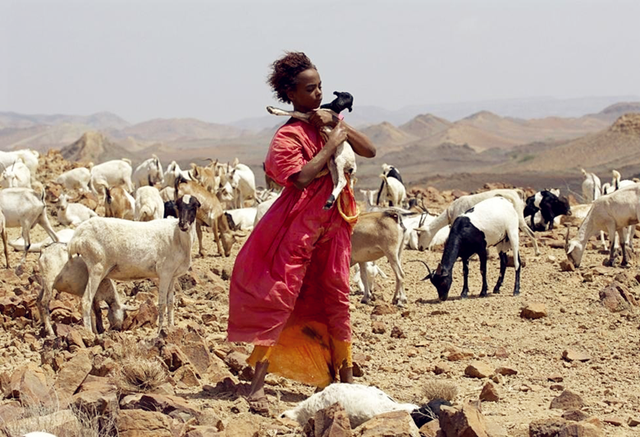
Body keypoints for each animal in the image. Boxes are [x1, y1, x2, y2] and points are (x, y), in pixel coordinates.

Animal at [67, 193, 200, 330]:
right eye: (178, 206)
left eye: (194, 206)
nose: (183, 225)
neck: (177, 236)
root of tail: (77, 236)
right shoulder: (164, 273)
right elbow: (162, 303)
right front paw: (160, 331)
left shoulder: (172, 276)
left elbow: (170, 303)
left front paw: (170, 327)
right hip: (96, 268)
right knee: (86, 301)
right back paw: (88, 332)